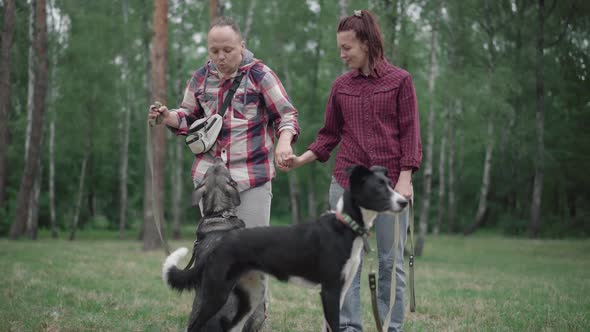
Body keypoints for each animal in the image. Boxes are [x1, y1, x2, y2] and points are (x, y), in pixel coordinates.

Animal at [164, 165, 410, 330]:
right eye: (379, 189)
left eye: (390, 185)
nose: (405, 202)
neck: (344, 225)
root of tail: (221, 240)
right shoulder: (329, 290)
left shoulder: (340, 290)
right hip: (216, 293)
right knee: (194, 326)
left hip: (252, 295)